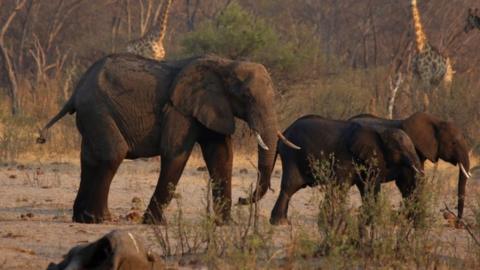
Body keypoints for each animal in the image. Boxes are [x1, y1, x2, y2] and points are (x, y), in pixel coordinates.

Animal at [37, 52, 298, 224]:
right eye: (247, 97)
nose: (244, 199)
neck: (226, 63)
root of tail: (76, 91)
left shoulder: (212, 107)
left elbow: (222, 157)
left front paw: (225, 224)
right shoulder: (179, 109)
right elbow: (175, 154)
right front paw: (153, 223)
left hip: (91, 115)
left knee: (90, 158)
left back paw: (82, 218)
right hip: (97, 109)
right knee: (112, 154)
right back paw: (101, 219)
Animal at [268, 115, 422, 225]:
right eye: (400, 150)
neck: (380, 130)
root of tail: (283, 132)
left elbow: (368, 187)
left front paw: (367, 221)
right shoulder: (346, 157)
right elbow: (341, 185)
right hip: (291, 154)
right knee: (290, 186)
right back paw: (280, 223)